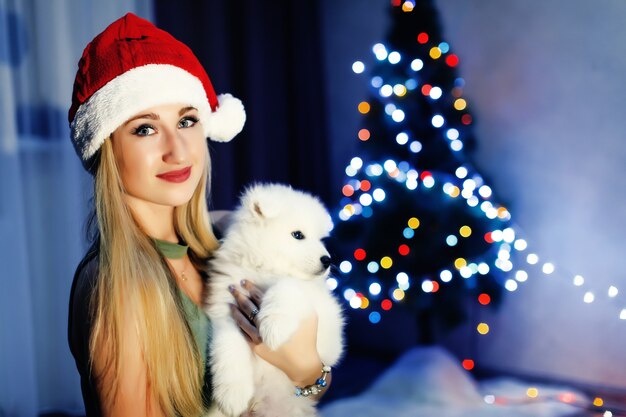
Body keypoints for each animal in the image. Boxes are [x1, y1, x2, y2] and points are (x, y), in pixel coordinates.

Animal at [205, 183, 344, 416]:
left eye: (320, 239)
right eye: (298, 235)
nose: (327, 260)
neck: (265, 268)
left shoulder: (319, 304)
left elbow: (286, 285)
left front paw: (273, 326)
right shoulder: (227, 308)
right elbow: (228, 348)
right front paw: (231, 394)